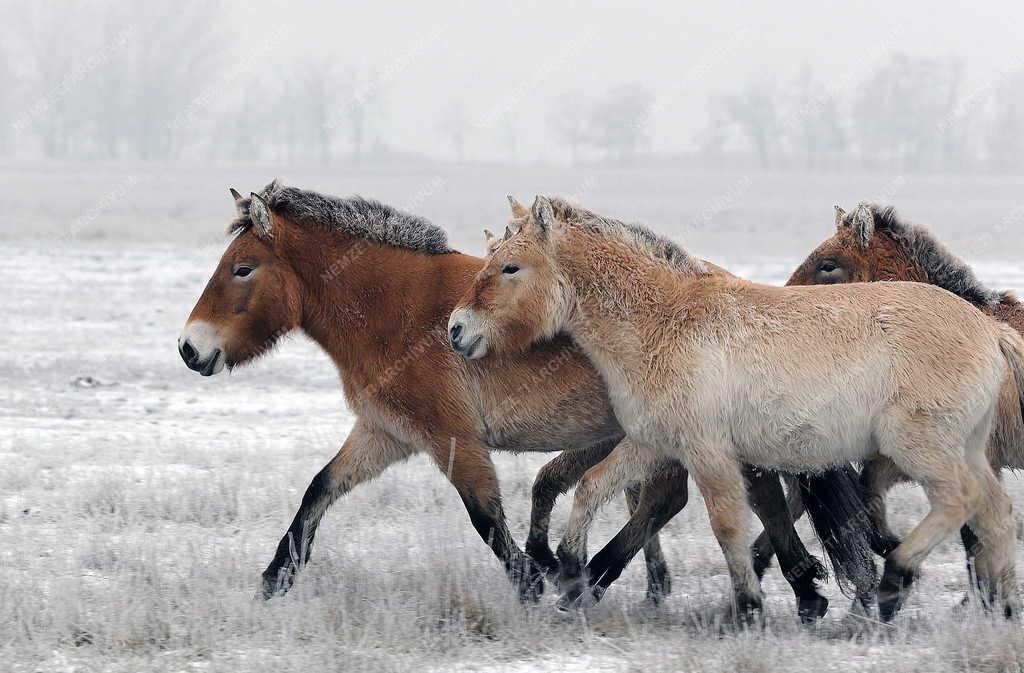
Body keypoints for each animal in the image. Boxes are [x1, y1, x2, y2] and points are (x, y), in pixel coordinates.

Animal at [182, 180, 847, 614]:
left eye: (242, 268)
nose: (190, 349)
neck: (401, 312)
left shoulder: (453, 440)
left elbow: (484, 517)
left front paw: (531, 582)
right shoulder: (385, 434)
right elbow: (318, 490)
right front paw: (275, 580)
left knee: (687, 497)